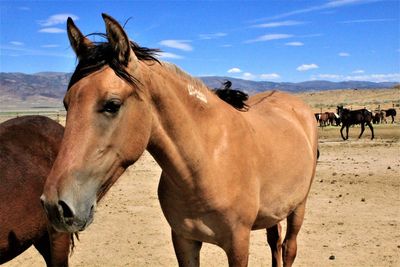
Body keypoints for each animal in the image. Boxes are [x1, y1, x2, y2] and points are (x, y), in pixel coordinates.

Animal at [40, 14, 318, 267]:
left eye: (112, 105)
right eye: (67, 103)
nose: (55, 206)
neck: (207, 162)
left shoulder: (238, 244)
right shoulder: (183, 240)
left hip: (299, 206)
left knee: (288, 248)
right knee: (275, 243)